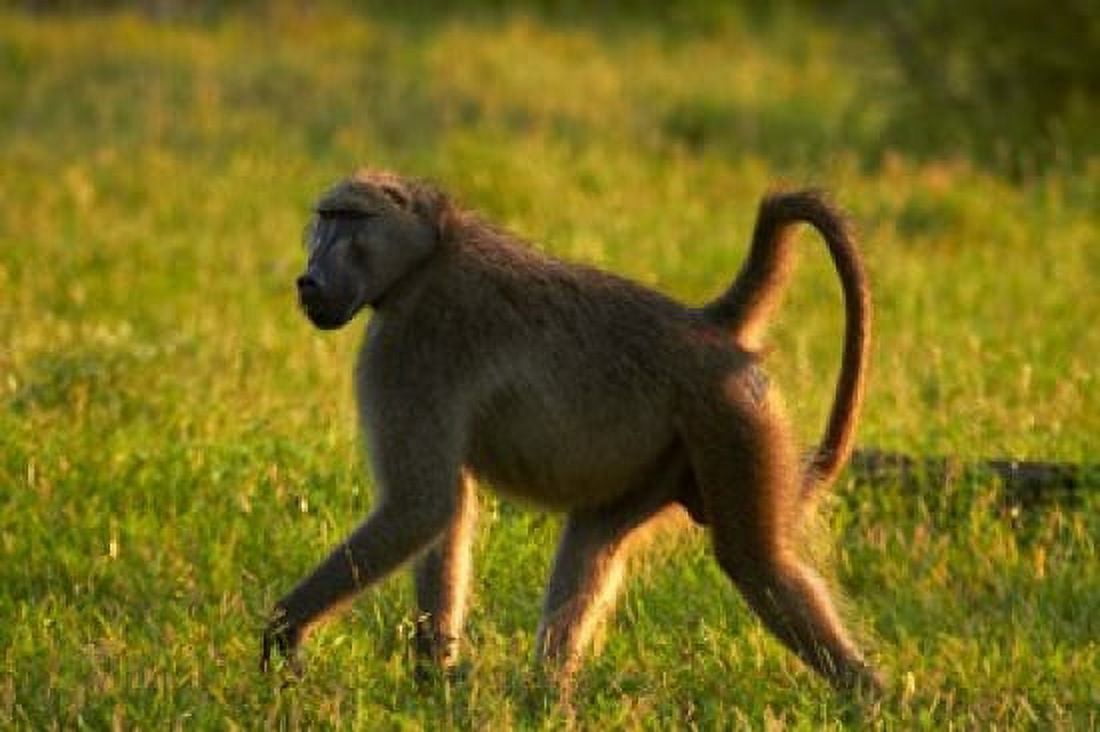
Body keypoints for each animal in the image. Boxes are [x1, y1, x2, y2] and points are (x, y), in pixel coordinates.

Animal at [261, 169, 881, 694]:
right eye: (324, 218)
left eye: (349, 218)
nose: (308, 280)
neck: (426, 256)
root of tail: (708, 324)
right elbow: (447, 509)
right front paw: (434, 678)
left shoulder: (410, 344)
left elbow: (421, 506)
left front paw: (284, 632)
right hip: (668, 457)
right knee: (593, 541)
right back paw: (546, 696)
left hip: (733, 419)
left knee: (757, 563)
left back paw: (867, 696)